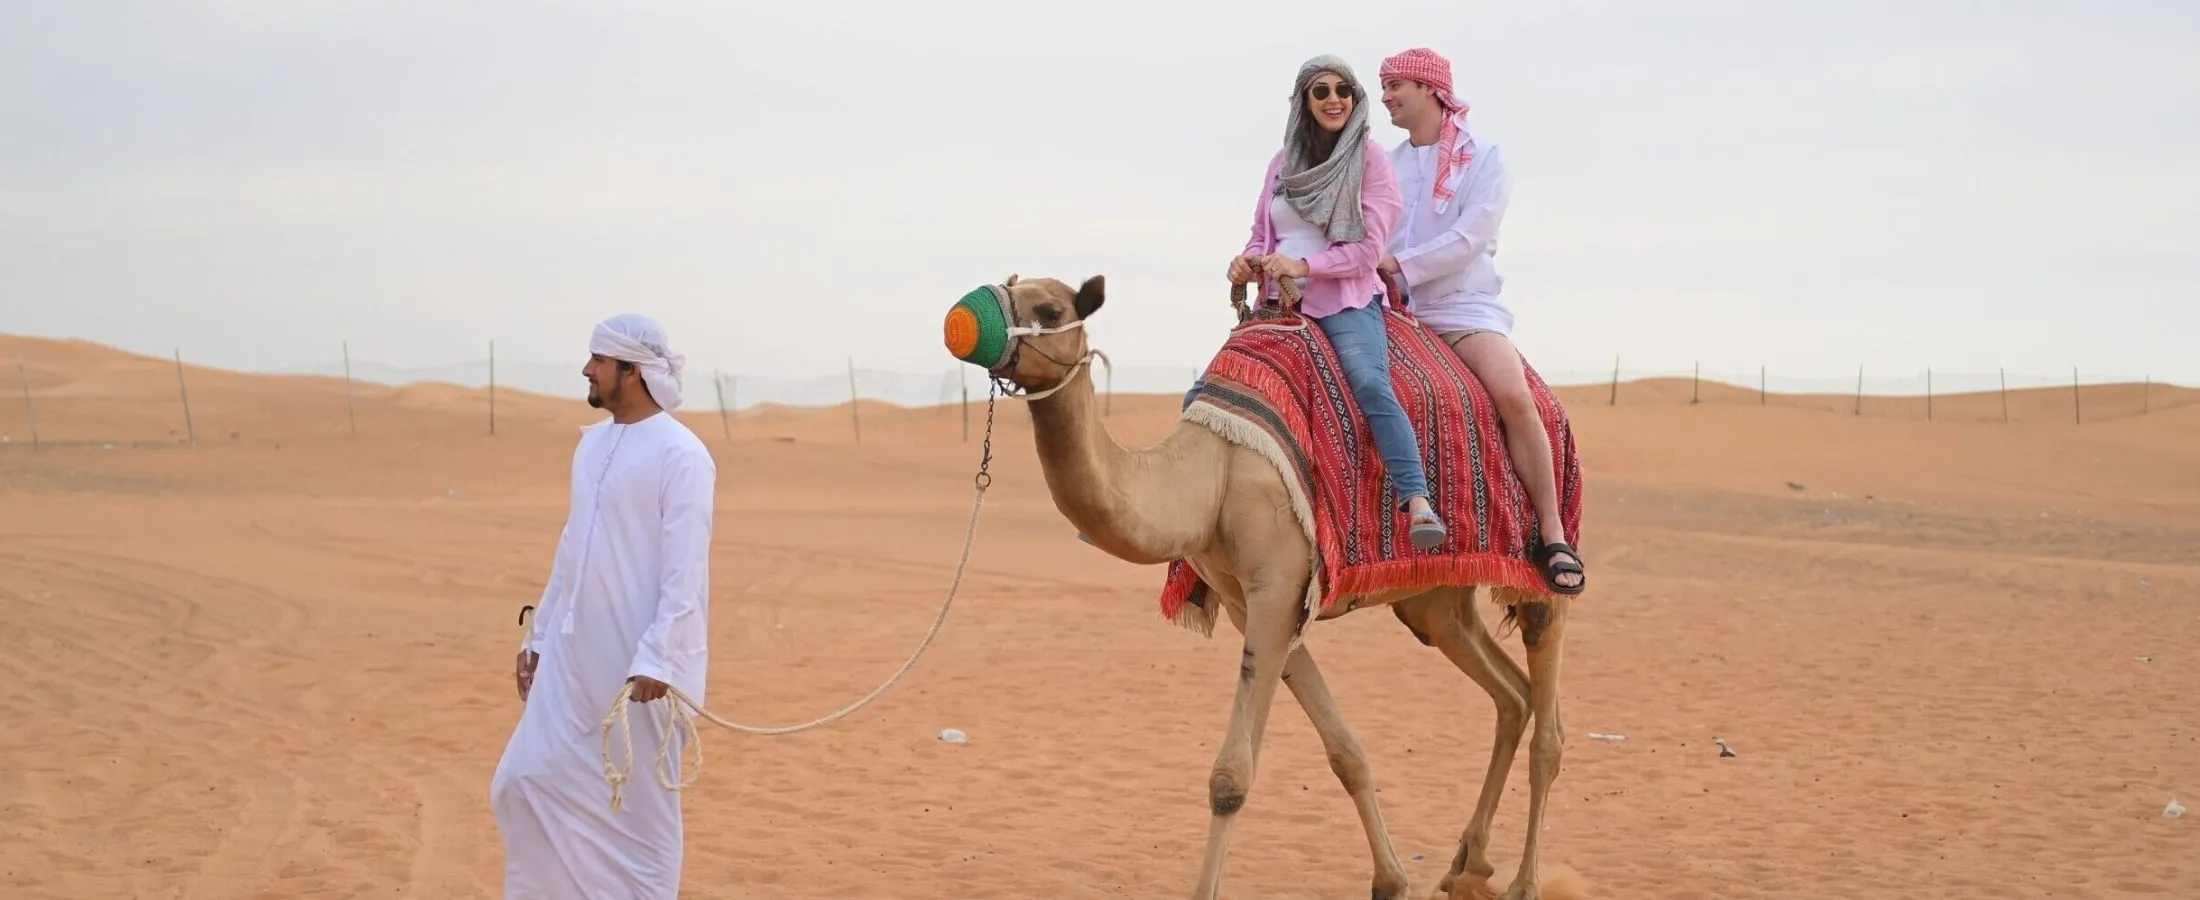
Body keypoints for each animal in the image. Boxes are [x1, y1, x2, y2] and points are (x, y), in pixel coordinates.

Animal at [937, 273, 1575, 897]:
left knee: (1548, 724)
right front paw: (1391, 880)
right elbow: (1345, 753)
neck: (1212, 476)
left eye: (1048, 310)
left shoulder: (1276, 587)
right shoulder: (1253, 601)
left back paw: (1524, 883)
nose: (960, 321)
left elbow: (1231, 780)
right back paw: (1469, 865)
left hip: (1541, 556)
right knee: (1511, 694)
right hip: (1436, 600)